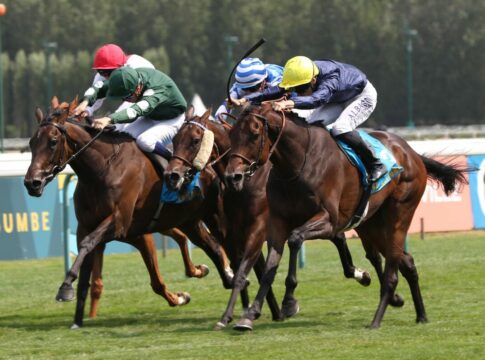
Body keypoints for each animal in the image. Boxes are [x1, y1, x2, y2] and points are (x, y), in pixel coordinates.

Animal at [24, 97, 233, 328]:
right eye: (32, 143)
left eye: (53, 141)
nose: (32, 183)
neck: (102, 168)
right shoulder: (93, 227)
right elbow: (87, 268)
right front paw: (77, 319)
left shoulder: (119, 223)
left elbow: (89, 244)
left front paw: (65, 288)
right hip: (189, 221)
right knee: (212, 246)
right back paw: (221, 276)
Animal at [164, 107, 368, 330]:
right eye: (175, 139)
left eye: (195, 140)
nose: (172, 174)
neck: (248, 182)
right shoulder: (234, 232)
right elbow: (245, 270)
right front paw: (238, 313)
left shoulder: (258, 229)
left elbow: (253, 270)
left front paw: (264, 312)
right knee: (337, 235)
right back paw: (359, 273)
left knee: (334, 234)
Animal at [224, 102, 468, 330]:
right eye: (232, 134)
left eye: (254, 134)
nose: (232, 176)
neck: (297, 164)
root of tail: (411, 153)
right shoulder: (277, 222)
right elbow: (269, 268)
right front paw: (250, 314)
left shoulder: (329, 221)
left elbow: (295, 239)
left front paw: (289, 301)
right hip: (371, 224)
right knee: (405, 261)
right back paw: (421, 315)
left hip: (400, 213)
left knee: (394, 265)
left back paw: (381, 318)